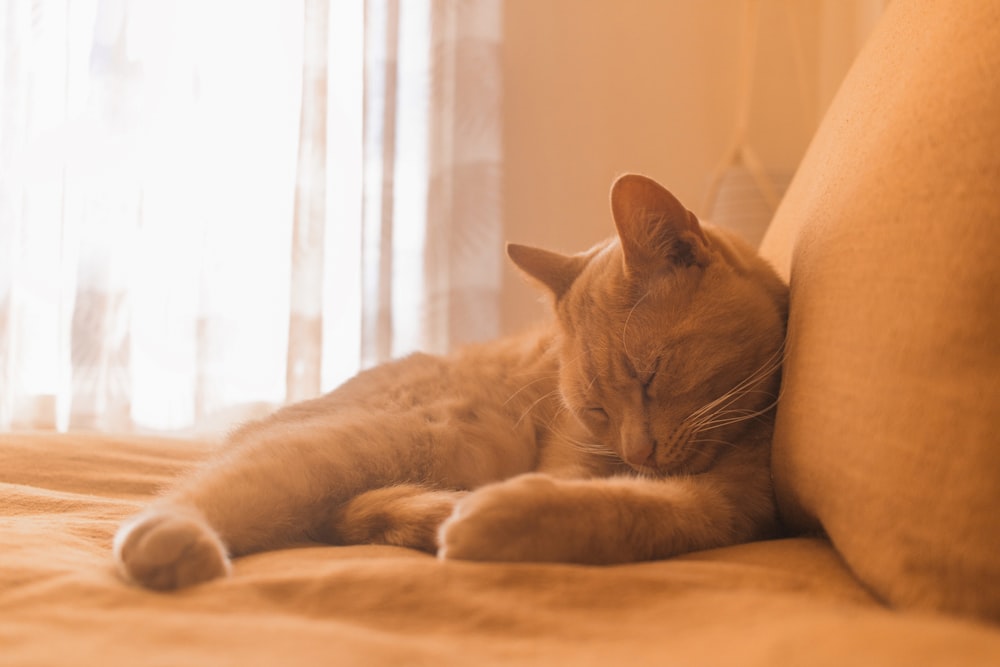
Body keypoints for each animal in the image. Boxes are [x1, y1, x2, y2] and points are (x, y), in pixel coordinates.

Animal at [115, 175, 788, 592]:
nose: (637, 452)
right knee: (203, 488)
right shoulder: (567, 459)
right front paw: (490, 515)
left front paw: (504, 519)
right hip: (425, 437)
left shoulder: (719, 509)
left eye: (652, 377)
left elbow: (622, 512)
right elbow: (577, 489)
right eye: (595, 408)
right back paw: (167, 540)